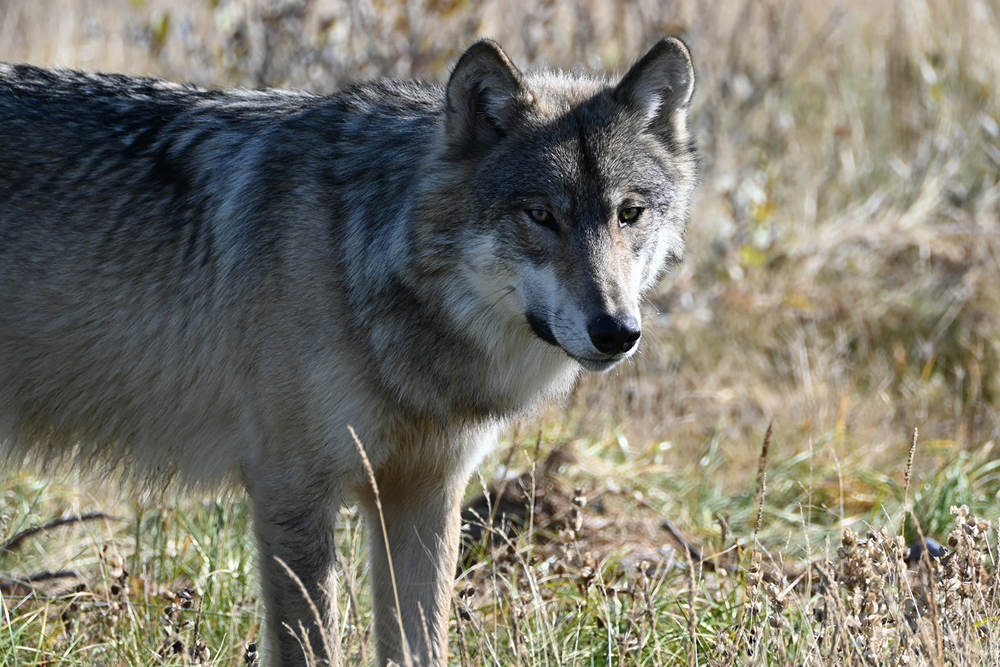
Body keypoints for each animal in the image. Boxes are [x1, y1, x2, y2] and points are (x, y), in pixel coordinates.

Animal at [0, 37, 696, 666]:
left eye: (628, 214)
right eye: (541, 215)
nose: (616, 331)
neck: (358, 260)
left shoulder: (426, 492)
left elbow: (421, 647)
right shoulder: (293, 490)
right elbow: (313, 647)